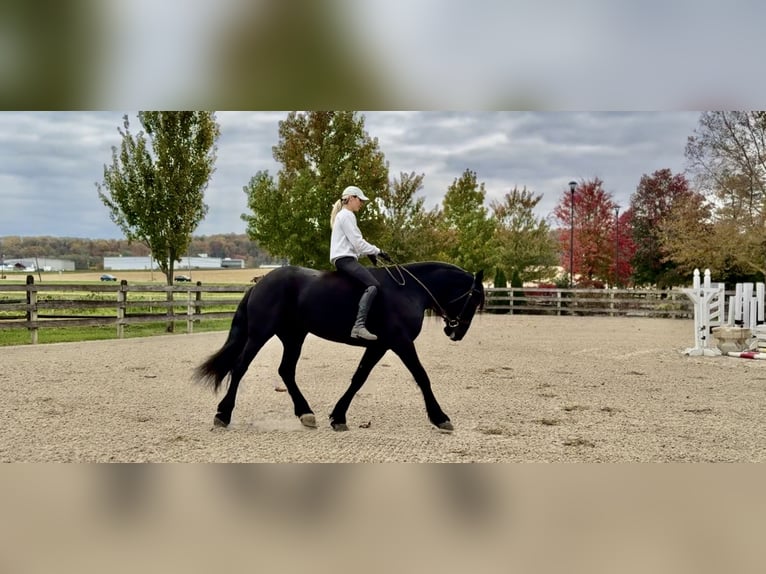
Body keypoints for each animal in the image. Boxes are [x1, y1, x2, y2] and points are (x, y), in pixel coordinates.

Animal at [193, 261, 484, 432]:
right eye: (474, 298)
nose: (457, 332)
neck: (409, 290)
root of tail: (261, 282)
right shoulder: (400, 342)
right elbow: (422, 376)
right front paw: (440, 417)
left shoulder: (379, 345)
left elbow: (359, 377)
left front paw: (338, 416)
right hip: (260, 334)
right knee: (240, 367)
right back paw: (223, 414)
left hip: (294, 337)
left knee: (286, 370)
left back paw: (306, 414)